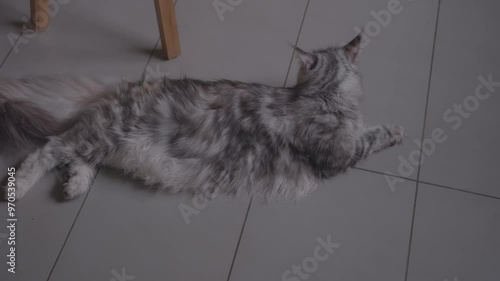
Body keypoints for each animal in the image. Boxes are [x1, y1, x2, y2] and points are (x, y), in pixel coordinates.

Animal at [0, 34, 404, 200]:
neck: (325, 93)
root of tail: (126, 85)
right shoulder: (339, 154)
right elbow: (370, 135)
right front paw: (396, 130)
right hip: (104, 135)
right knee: (48, 149)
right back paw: (19, 187)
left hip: (105, 142)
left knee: (79, 159)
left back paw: (75, 187)